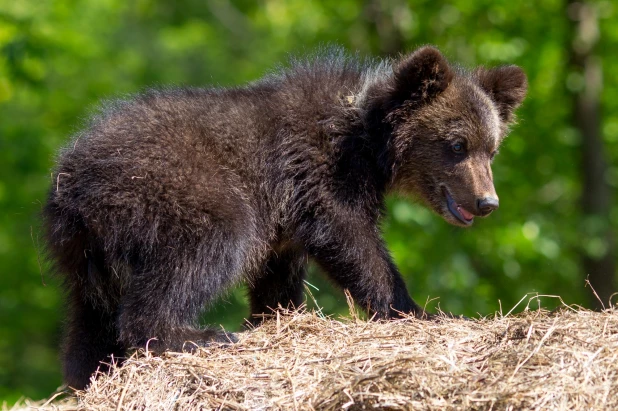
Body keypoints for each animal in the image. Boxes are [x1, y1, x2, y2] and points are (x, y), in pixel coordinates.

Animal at [44, 45, 524, 390]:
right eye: (457, 145)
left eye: (492, 148)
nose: (487, 201)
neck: (368, 141)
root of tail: (74, 175)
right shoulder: (319, 172)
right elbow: (352, 239)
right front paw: (412, 309)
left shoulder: (285, 221)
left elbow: (279, 276)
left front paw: (275, 317)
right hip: (179, 187)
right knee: (203, 251)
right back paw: (195, 335)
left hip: (84, 252)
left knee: (90, 314)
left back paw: (90, 372)